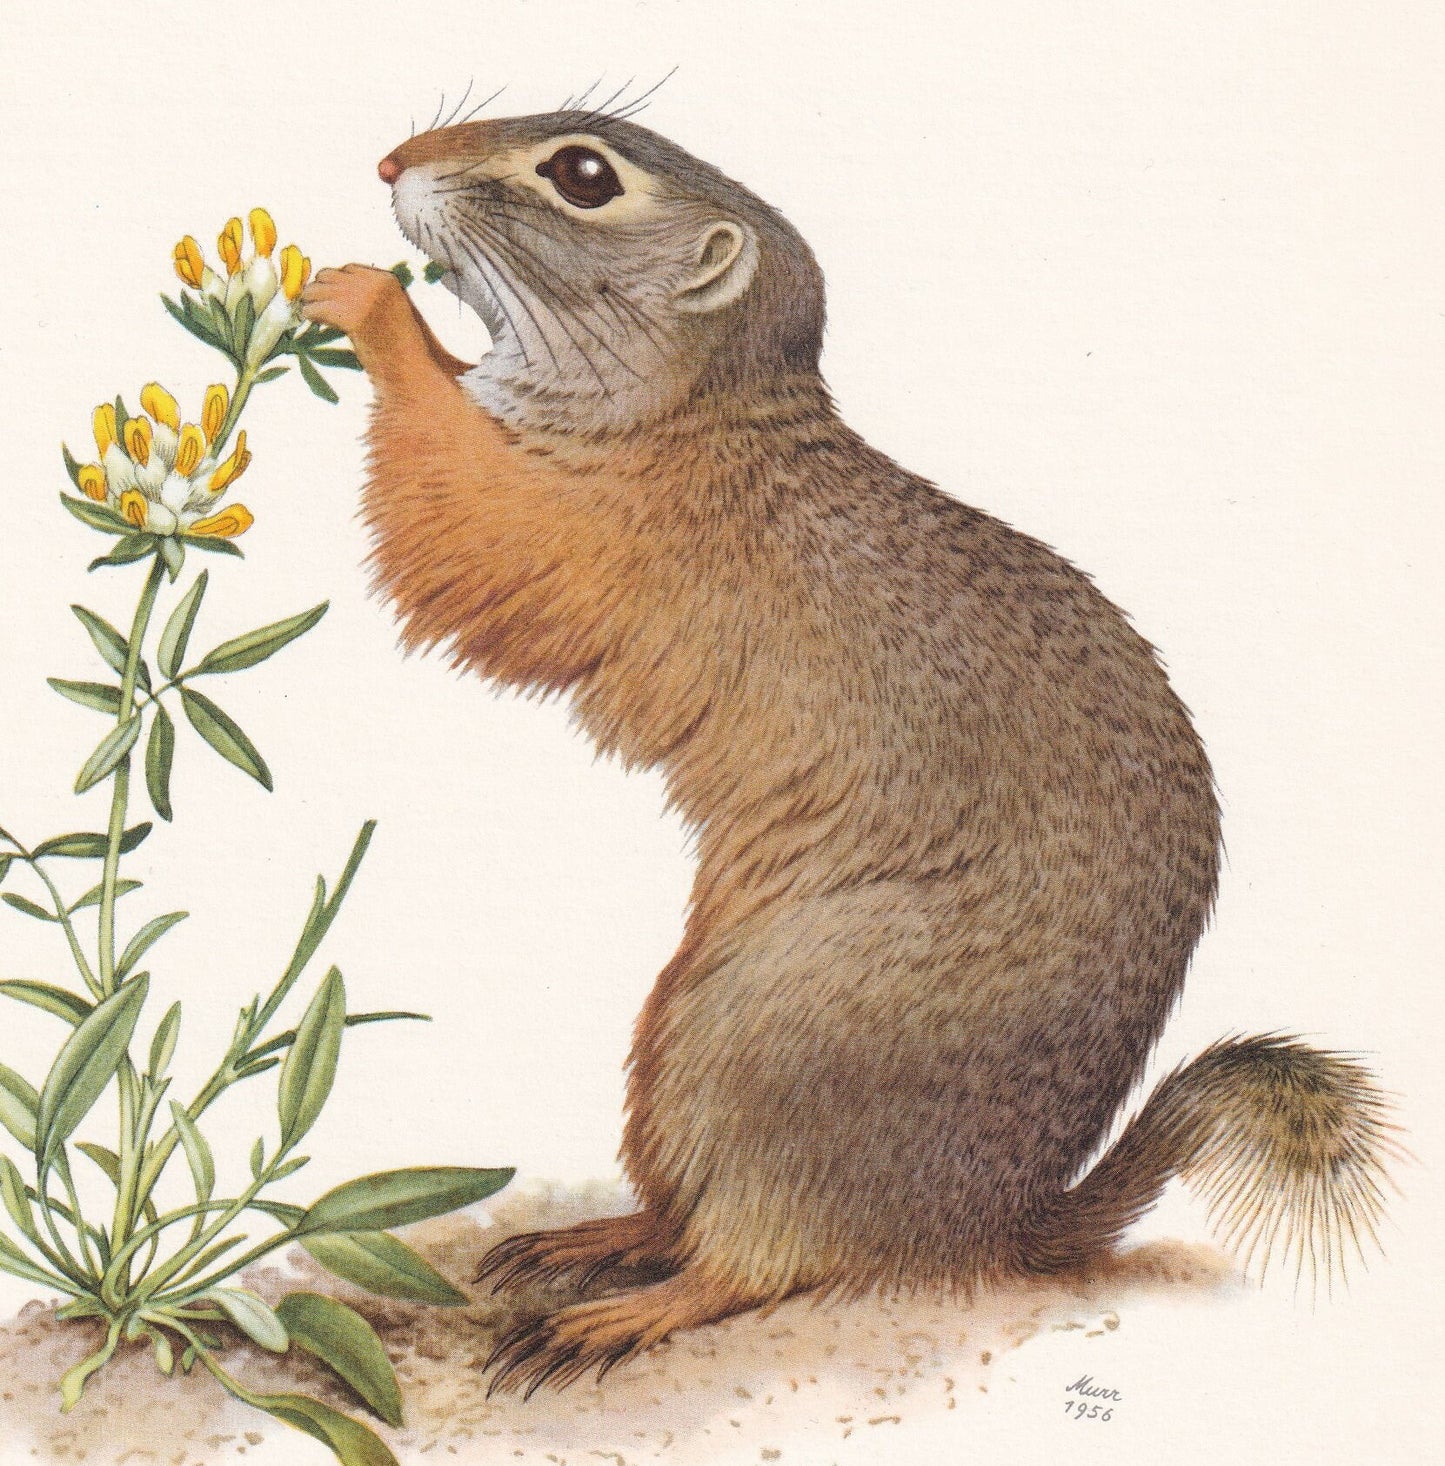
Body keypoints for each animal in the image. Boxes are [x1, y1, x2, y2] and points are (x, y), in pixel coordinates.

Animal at [301, 106, 1399, 1396]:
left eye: (581, 175)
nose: (390, 162)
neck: (702, 413)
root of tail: (982, 1225)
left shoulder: (573, 525)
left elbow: (452, 505)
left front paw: (366, 301)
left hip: (759, 1038)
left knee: (753, 1261)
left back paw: (613, 1313)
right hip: (673, 1045)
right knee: (684, 1216)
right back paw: (590, 1237)